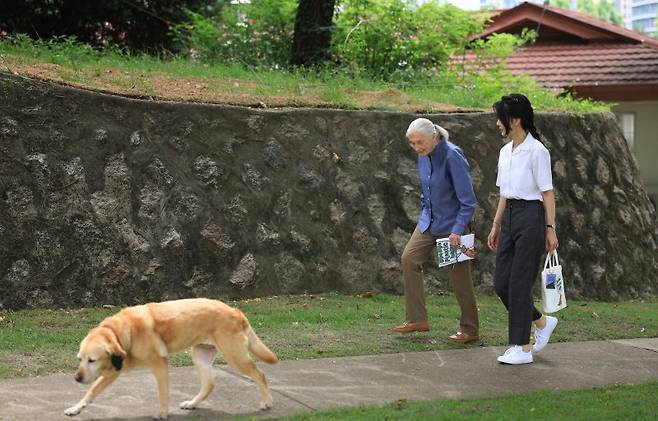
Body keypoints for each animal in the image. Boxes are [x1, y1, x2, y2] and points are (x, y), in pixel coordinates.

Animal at [62, 296, 276, 418]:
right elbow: (91, 392)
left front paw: (163, 414)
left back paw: (266, 402)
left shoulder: (159, 366)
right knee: (209, 384)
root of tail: (236, 311)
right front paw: (76, 408)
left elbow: (163, 394)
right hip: (200, 356)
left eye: (92, 360)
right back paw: (192, 404)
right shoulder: (113, 371)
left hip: (235, 357)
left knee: (261, 375)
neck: (120, 332)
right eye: (80, 359)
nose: (76, 378)